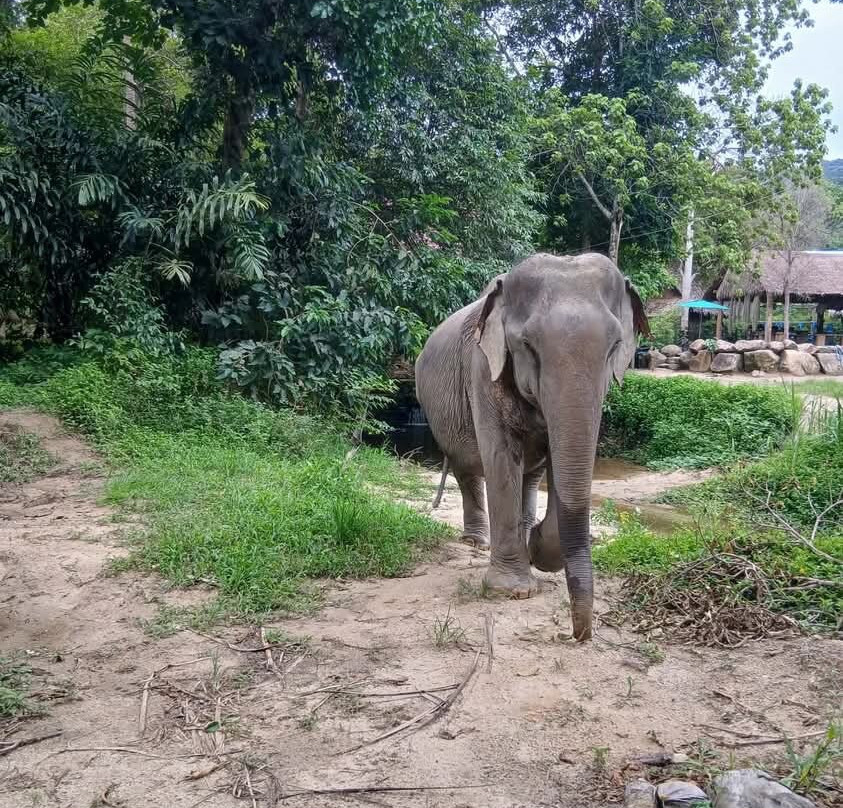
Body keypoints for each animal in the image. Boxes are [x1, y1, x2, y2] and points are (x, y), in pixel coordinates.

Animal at [415, 252, 649, 641]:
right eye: (527, 345)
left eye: (615, 347)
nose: (577, 635)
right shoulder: (483, 369)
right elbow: (500, 457)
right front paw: (512, 591)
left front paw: (537, 547)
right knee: (468, 470)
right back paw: (476, 543)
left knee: (531, 475)